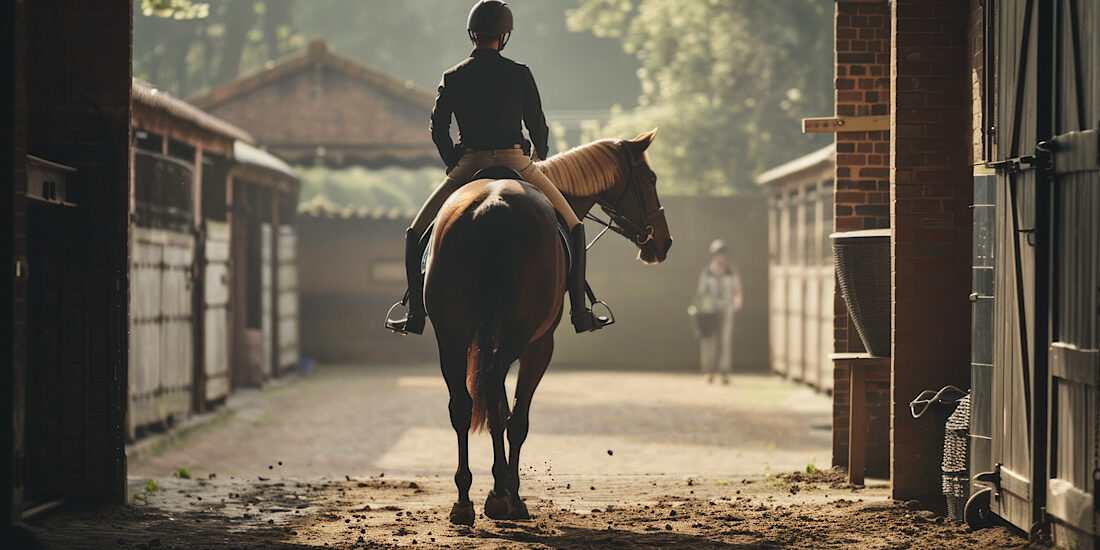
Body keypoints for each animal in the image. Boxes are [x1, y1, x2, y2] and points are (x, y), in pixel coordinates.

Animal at [423, 130, 672, 525]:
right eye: (651, 179)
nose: (663, 242)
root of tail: (491, 206)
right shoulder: (540, 345)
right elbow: (517, 418)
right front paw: (510, 494)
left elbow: (495, 409)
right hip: (519, 336)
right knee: (500, 400)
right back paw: (501, 495)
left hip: (451, 337)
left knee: (464, 405)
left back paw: (464, 501)